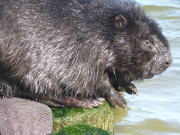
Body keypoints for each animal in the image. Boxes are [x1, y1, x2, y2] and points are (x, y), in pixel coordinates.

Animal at [0, 0, 172, 108]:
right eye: (147, 41)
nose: (168, 61)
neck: (100, 27)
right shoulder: (85, 51)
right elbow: (93, 79)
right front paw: (116, 98)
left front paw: (129, 86)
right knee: (38, 91)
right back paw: (86, 102)